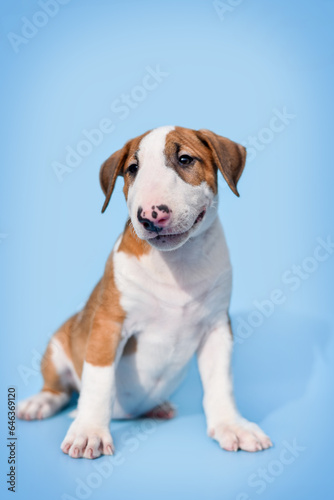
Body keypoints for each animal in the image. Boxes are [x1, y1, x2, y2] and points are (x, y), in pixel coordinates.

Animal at [17, 127, 272, 458]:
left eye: (185, 159)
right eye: (132, 169)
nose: (150, 215)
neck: (176, 262)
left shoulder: (217, 328)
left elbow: (220, 382)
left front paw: (233, 426)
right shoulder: (108, 325)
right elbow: (98, 382)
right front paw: (89, 432)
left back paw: (156, 409)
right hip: (58, 345)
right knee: (59, 389)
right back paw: (40, 402)